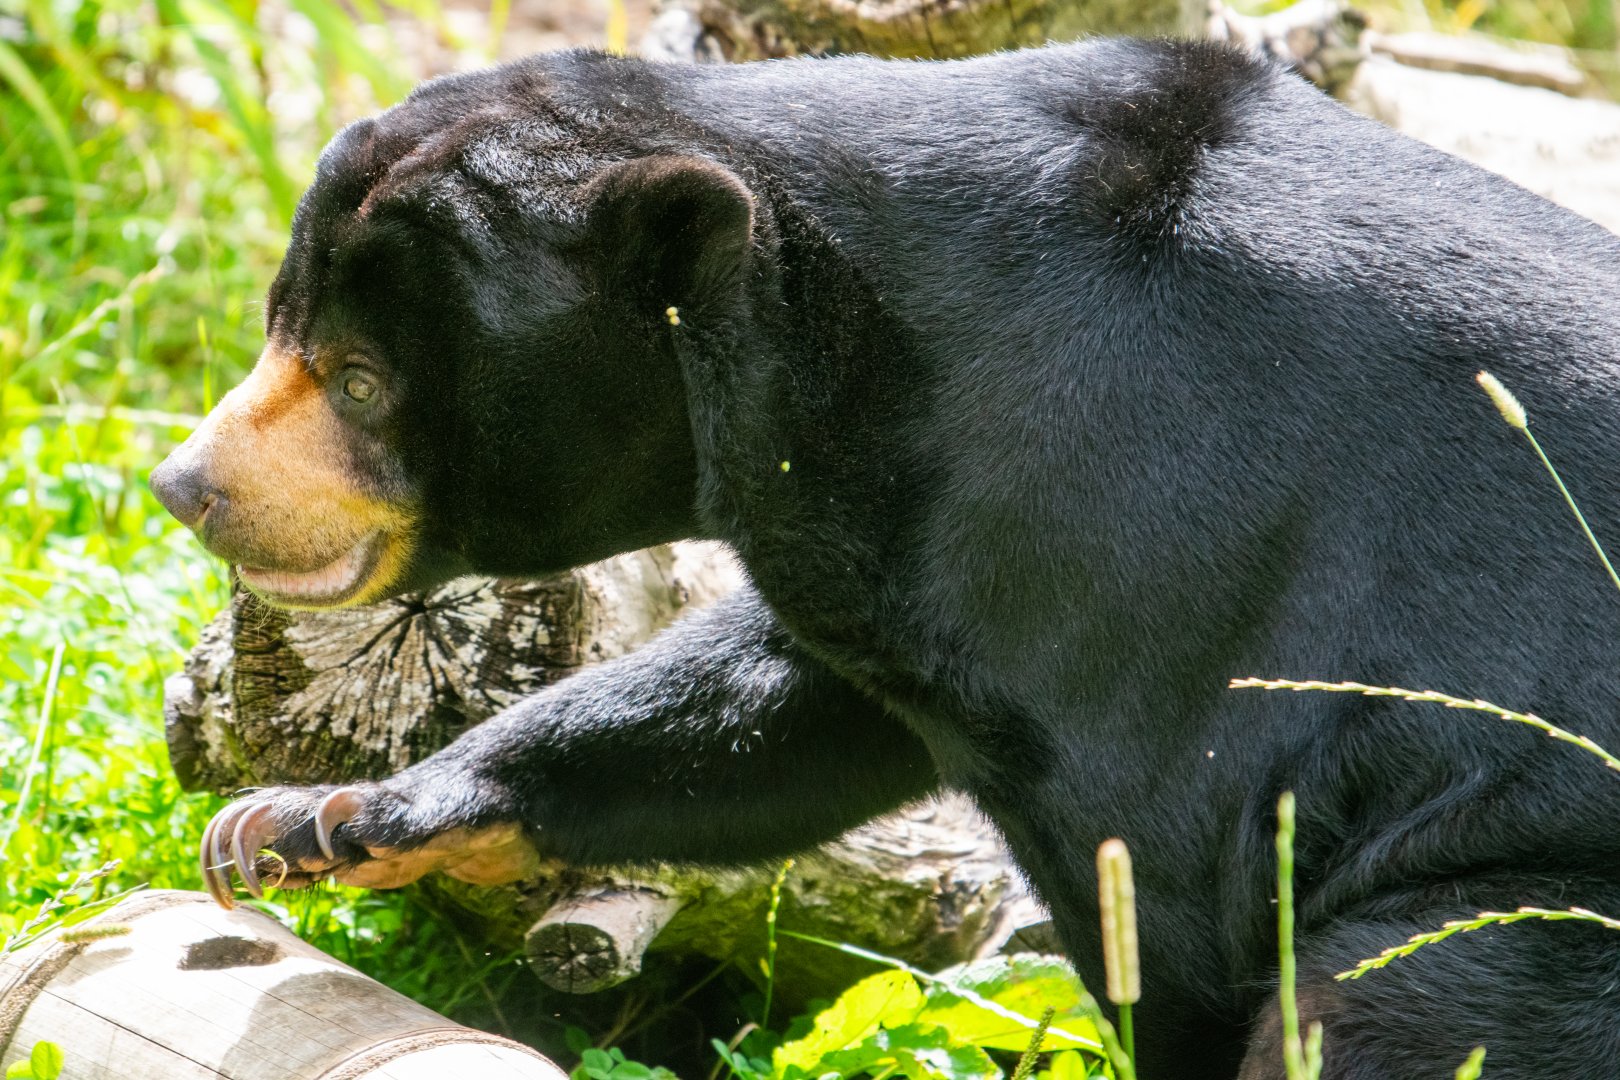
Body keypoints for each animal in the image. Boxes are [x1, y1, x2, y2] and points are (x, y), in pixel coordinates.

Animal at [147, 38, 1620, 1079]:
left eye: (362, 378)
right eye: (280, 321)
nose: (190, 487)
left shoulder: (1152, 547)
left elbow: (1173, 898)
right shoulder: (899, 551)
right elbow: (777, 710)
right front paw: (309, 825)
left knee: (1398, 994)